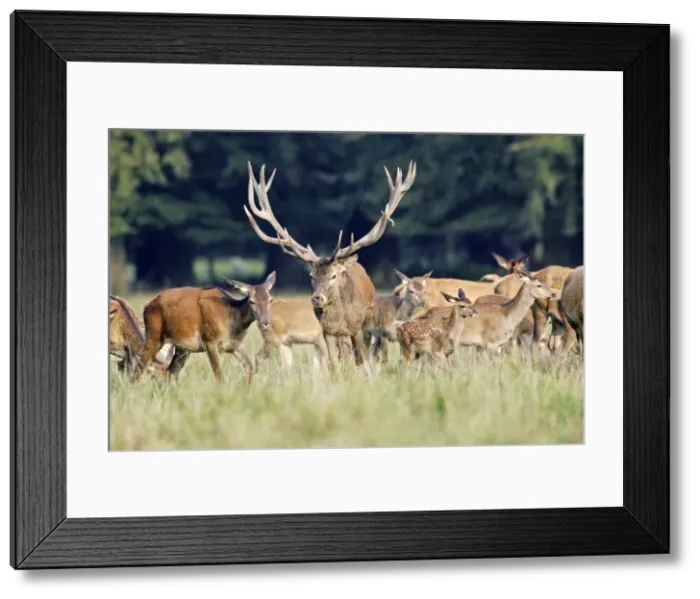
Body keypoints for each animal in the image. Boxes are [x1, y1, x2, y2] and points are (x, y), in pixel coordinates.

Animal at [133, 272, 277, 385]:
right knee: (139, 368)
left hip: (182, 348)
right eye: (251, 301)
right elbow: (219, 375)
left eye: (270, 300)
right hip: (154, 336)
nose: (265, 323)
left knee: (169, 373)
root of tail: (146, 306)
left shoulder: (236, 345)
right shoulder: (210, 340)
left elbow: (249, 368)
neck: (232, 327)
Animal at [243, 160, 417, 374]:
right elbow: (333, 364)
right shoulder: (326, 332)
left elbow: (360, 359)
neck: (340, 318)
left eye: (334, 276)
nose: (317, 298)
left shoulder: (357, 328)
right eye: (311, 276)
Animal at [416, 268, 555, 355]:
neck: (506, 316)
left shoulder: (496, 345)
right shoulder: (490, 344)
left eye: (544, 282)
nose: (553, 293)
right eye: (538, 285)